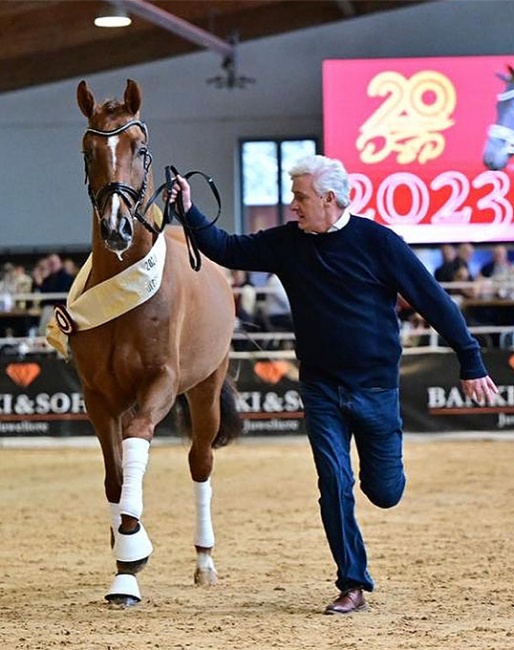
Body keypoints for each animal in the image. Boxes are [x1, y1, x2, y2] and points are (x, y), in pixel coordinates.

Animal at [68, 78, 240, 604]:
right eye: (88, 152)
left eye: (139, 149)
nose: (117, 228)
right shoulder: (98, 398)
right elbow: (115, 474)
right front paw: (126, 553)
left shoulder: (160, 383)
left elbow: (139, 437)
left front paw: (130, 556)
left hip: (205, 389)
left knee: (200, 461)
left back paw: (204, 561)